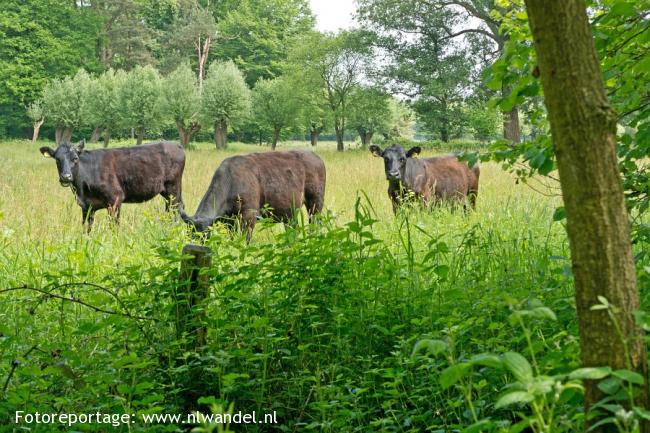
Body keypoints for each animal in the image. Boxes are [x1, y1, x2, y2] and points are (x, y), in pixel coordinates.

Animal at [39, 140, 185, 231]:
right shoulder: (86, 206)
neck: (81, 190)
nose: (66, 177)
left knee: (177, 209)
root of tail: (176, 145)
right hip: (167, 192)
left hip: (173, 188)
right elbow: (86, 228)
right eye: (57, 160)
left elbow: (114, 226)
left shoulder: (115, 198)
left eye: (75, 158)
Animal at [181, 150, 324, 241]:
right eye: (189, 234)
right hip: (291, 213)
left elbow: (246, 238)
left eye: (205, 235)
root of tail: (314, 156)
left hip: (315, 203)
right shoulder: (230, 220)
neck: (231, 180)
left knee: (315, 222)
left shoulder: (249, 216)